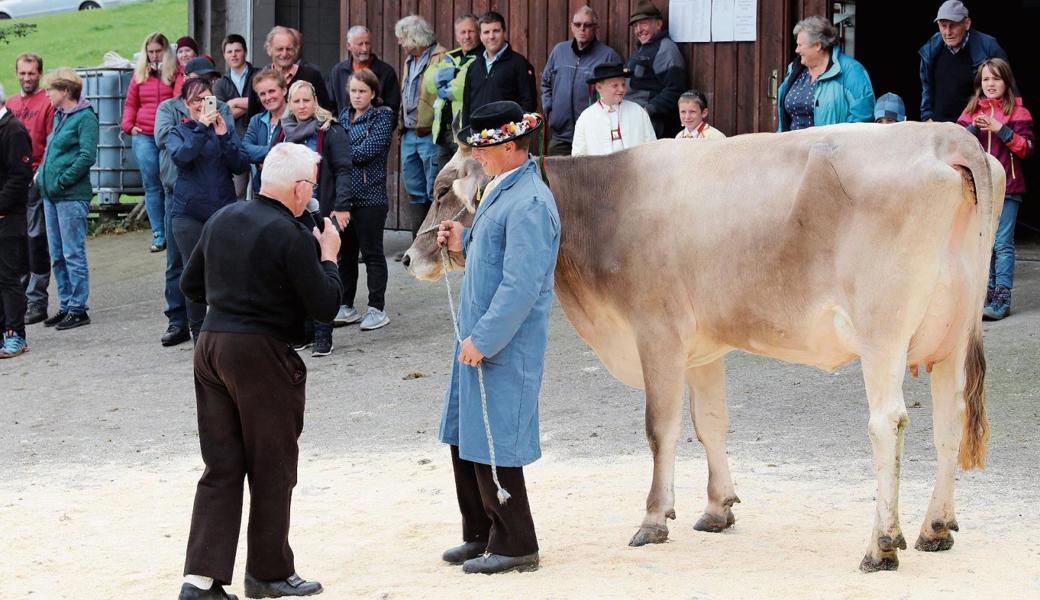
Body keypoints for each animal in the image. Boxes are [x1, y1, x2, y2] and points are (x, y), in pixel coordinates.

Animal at [401, 122, 1002, 569]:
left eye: (441, 190)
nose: (409, 257)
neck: (605, 204)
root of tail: (948, 137)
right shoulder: (703, 347)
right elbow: (710, 422)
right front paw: (717, 508)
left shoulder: (657, 333)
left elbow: (661, 428)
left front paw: (652, 518)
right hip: (949, 338)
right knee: (948, 424)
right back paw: (934, 527)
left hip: (883, 335)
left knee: (887, 424)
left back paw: (881, 545)